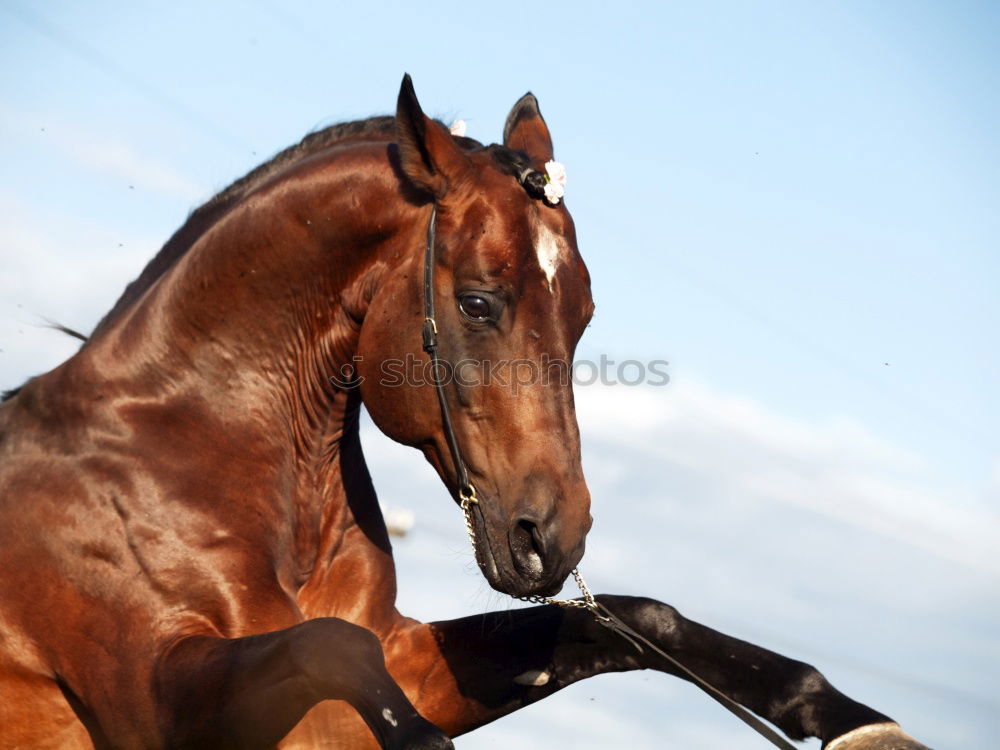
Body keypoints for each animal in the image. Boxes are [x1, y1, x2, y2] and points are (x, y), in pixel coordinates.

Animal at [0, 75, 924, 748]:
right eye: (479, 303)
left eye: (584, 314)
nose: (553, 537)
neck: (181, 447)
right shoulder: (156, 700)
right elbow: (330, 644)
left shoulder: (409, 657)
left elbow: (637, 619)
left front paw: (850, 721)